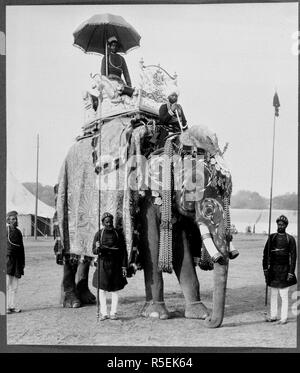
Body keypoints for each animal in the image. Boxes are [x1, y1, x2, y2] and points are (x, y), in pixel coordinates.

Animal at [137, 126, 239, 326]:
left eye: (228, 193)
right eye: (193, 190)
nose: (209, 322)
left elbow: (180, 249)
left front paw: (200, 313)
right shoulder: (147, 199)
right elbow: (151, 244)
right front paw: (156, 315)